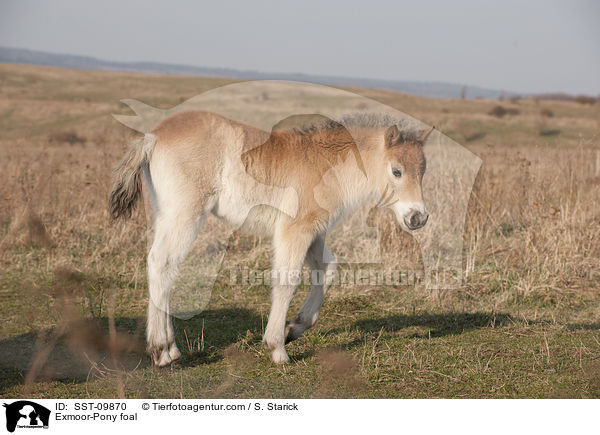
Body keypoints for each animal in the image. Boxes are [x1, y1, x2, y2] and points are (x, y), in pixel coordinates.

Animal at [110, 110, 434, 366]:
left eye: (423, 172)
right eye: (396, 171)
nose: (418, 218)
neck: (326, 165)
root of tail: (152, 136)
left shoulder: (314, 232)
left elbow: (327, 270)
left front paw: (295, 329)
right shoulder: (295, 230)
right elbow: (287, 280)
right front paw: (277, 348)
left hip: (166, 213)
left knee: (163, 268)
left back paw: (173, 349)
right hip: (185, 213)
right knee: (162, 263)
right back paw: (160, 352)